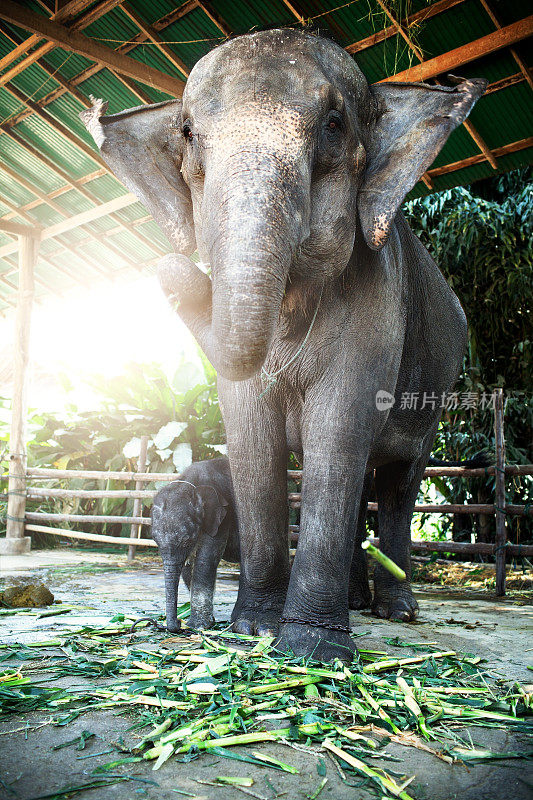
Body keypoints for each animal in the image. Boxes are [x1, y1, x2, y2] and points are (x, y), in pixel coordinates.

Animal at [152, 456, 239, 632]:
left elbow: (205, 560)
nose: (178, 622)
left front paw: (198, 626)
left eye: (187, 540)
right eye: (155, 539)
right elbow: (188, 567)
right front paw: (209, 621)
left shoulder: (222, 517)